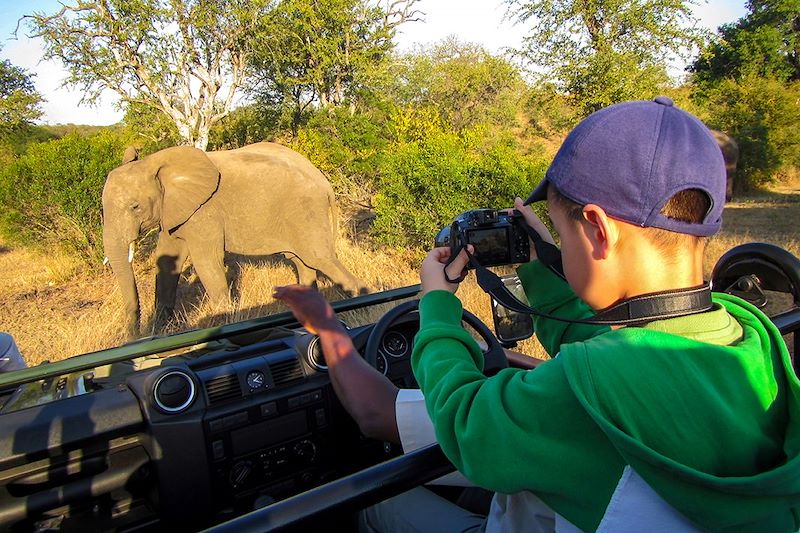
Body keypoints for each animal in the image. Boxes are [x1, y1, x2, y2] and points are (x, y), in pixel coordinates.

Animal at [103, 141, 368, 336]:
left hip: (306, 210)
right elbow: (168, 261)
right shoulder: (174, 212)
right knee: (303, 262)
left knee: (319, 258)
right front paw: (161, 331)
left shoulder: (203, 212)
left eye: (135, 207)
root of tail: (324, 182)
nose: (135, 338)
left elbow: (206, 262)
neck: (155, 163)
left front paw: (223, 321)